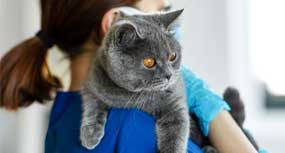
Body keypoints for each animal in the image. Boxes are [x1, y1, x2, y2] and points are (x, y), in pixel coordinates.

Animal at [79, 9, 190, 153]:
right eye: (149, 62)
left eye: (173, 56)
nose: (169, 75)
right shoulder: (91, 84)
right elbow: (92, 106)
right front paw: (90, 134)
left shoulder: (175, 104)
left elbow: (176, 133)